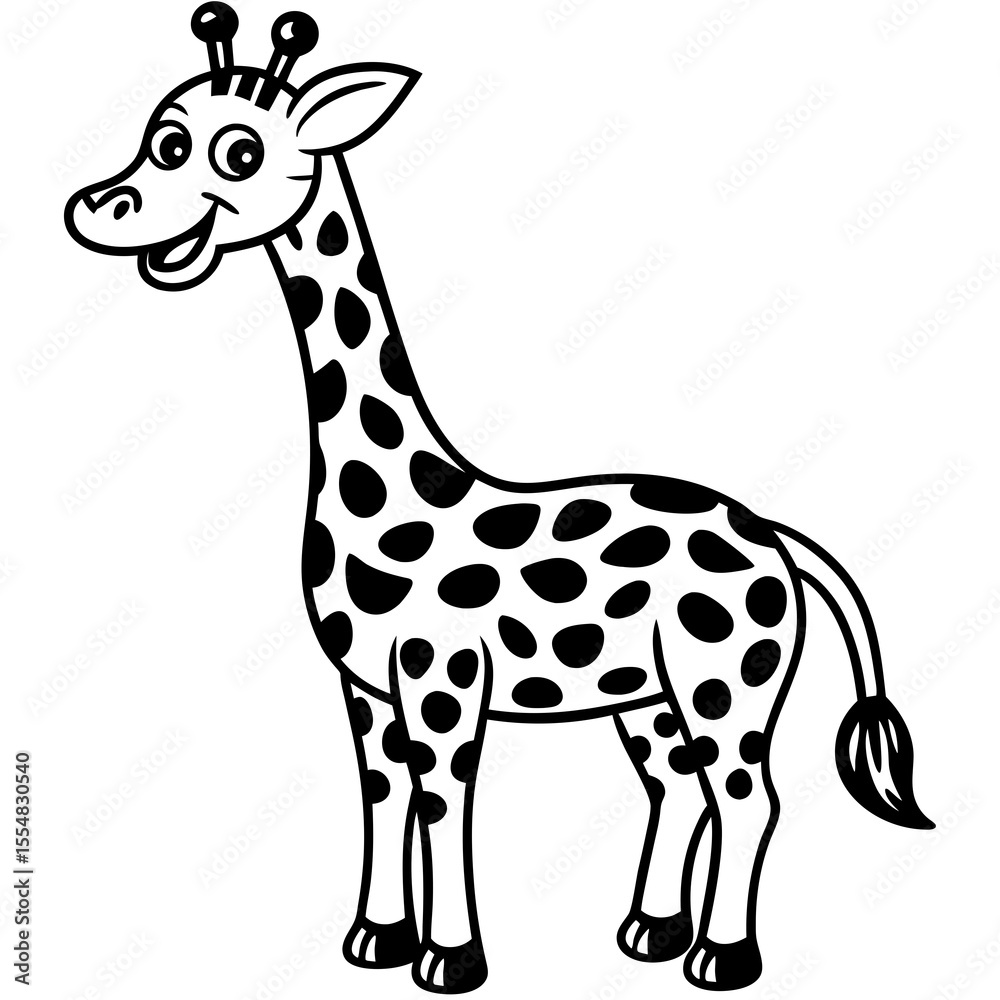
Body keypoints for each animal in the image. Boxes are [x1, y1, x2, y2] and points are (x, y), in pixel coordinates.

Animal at [65, 6, 934, 993]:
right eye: (156, 137)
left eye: (232, 152)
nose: (92, 206)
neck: (395, 485)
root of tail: (774, 536)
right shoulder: (365, 688)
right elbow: (383, 799)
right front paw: (376, 940)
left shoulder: (443, 681)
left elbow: (444, 805)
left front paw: (450, 958)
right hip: (646, 693)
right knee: (677, 786)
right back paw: (650, 931)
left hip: (725, 681)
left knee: (749, 797)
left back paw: (720, 956)